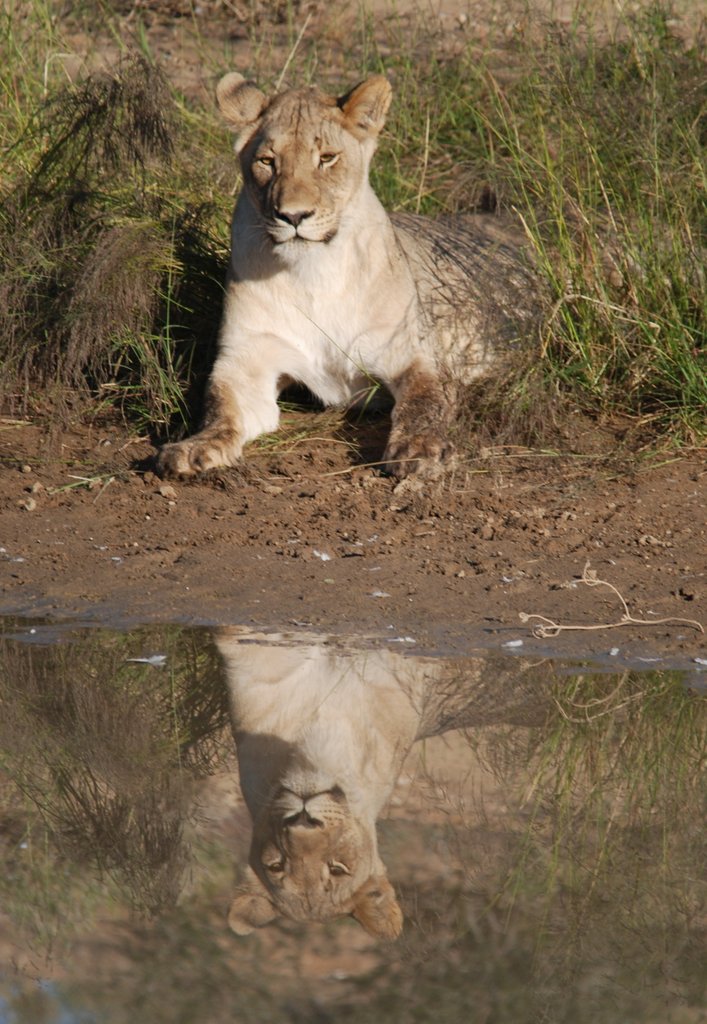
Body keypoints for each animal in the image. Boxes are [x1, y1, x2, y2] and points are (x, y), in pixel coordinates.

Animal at [157, 73, 539, 480]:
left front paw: (420, 449)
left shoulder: (410, 355)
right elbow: (219, 405)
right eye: (267, 161)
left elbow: (423, 402)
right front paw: (195, 446)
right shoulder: (245, 359)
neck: (311, 274)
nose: (293, 215)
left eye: (327, 159)